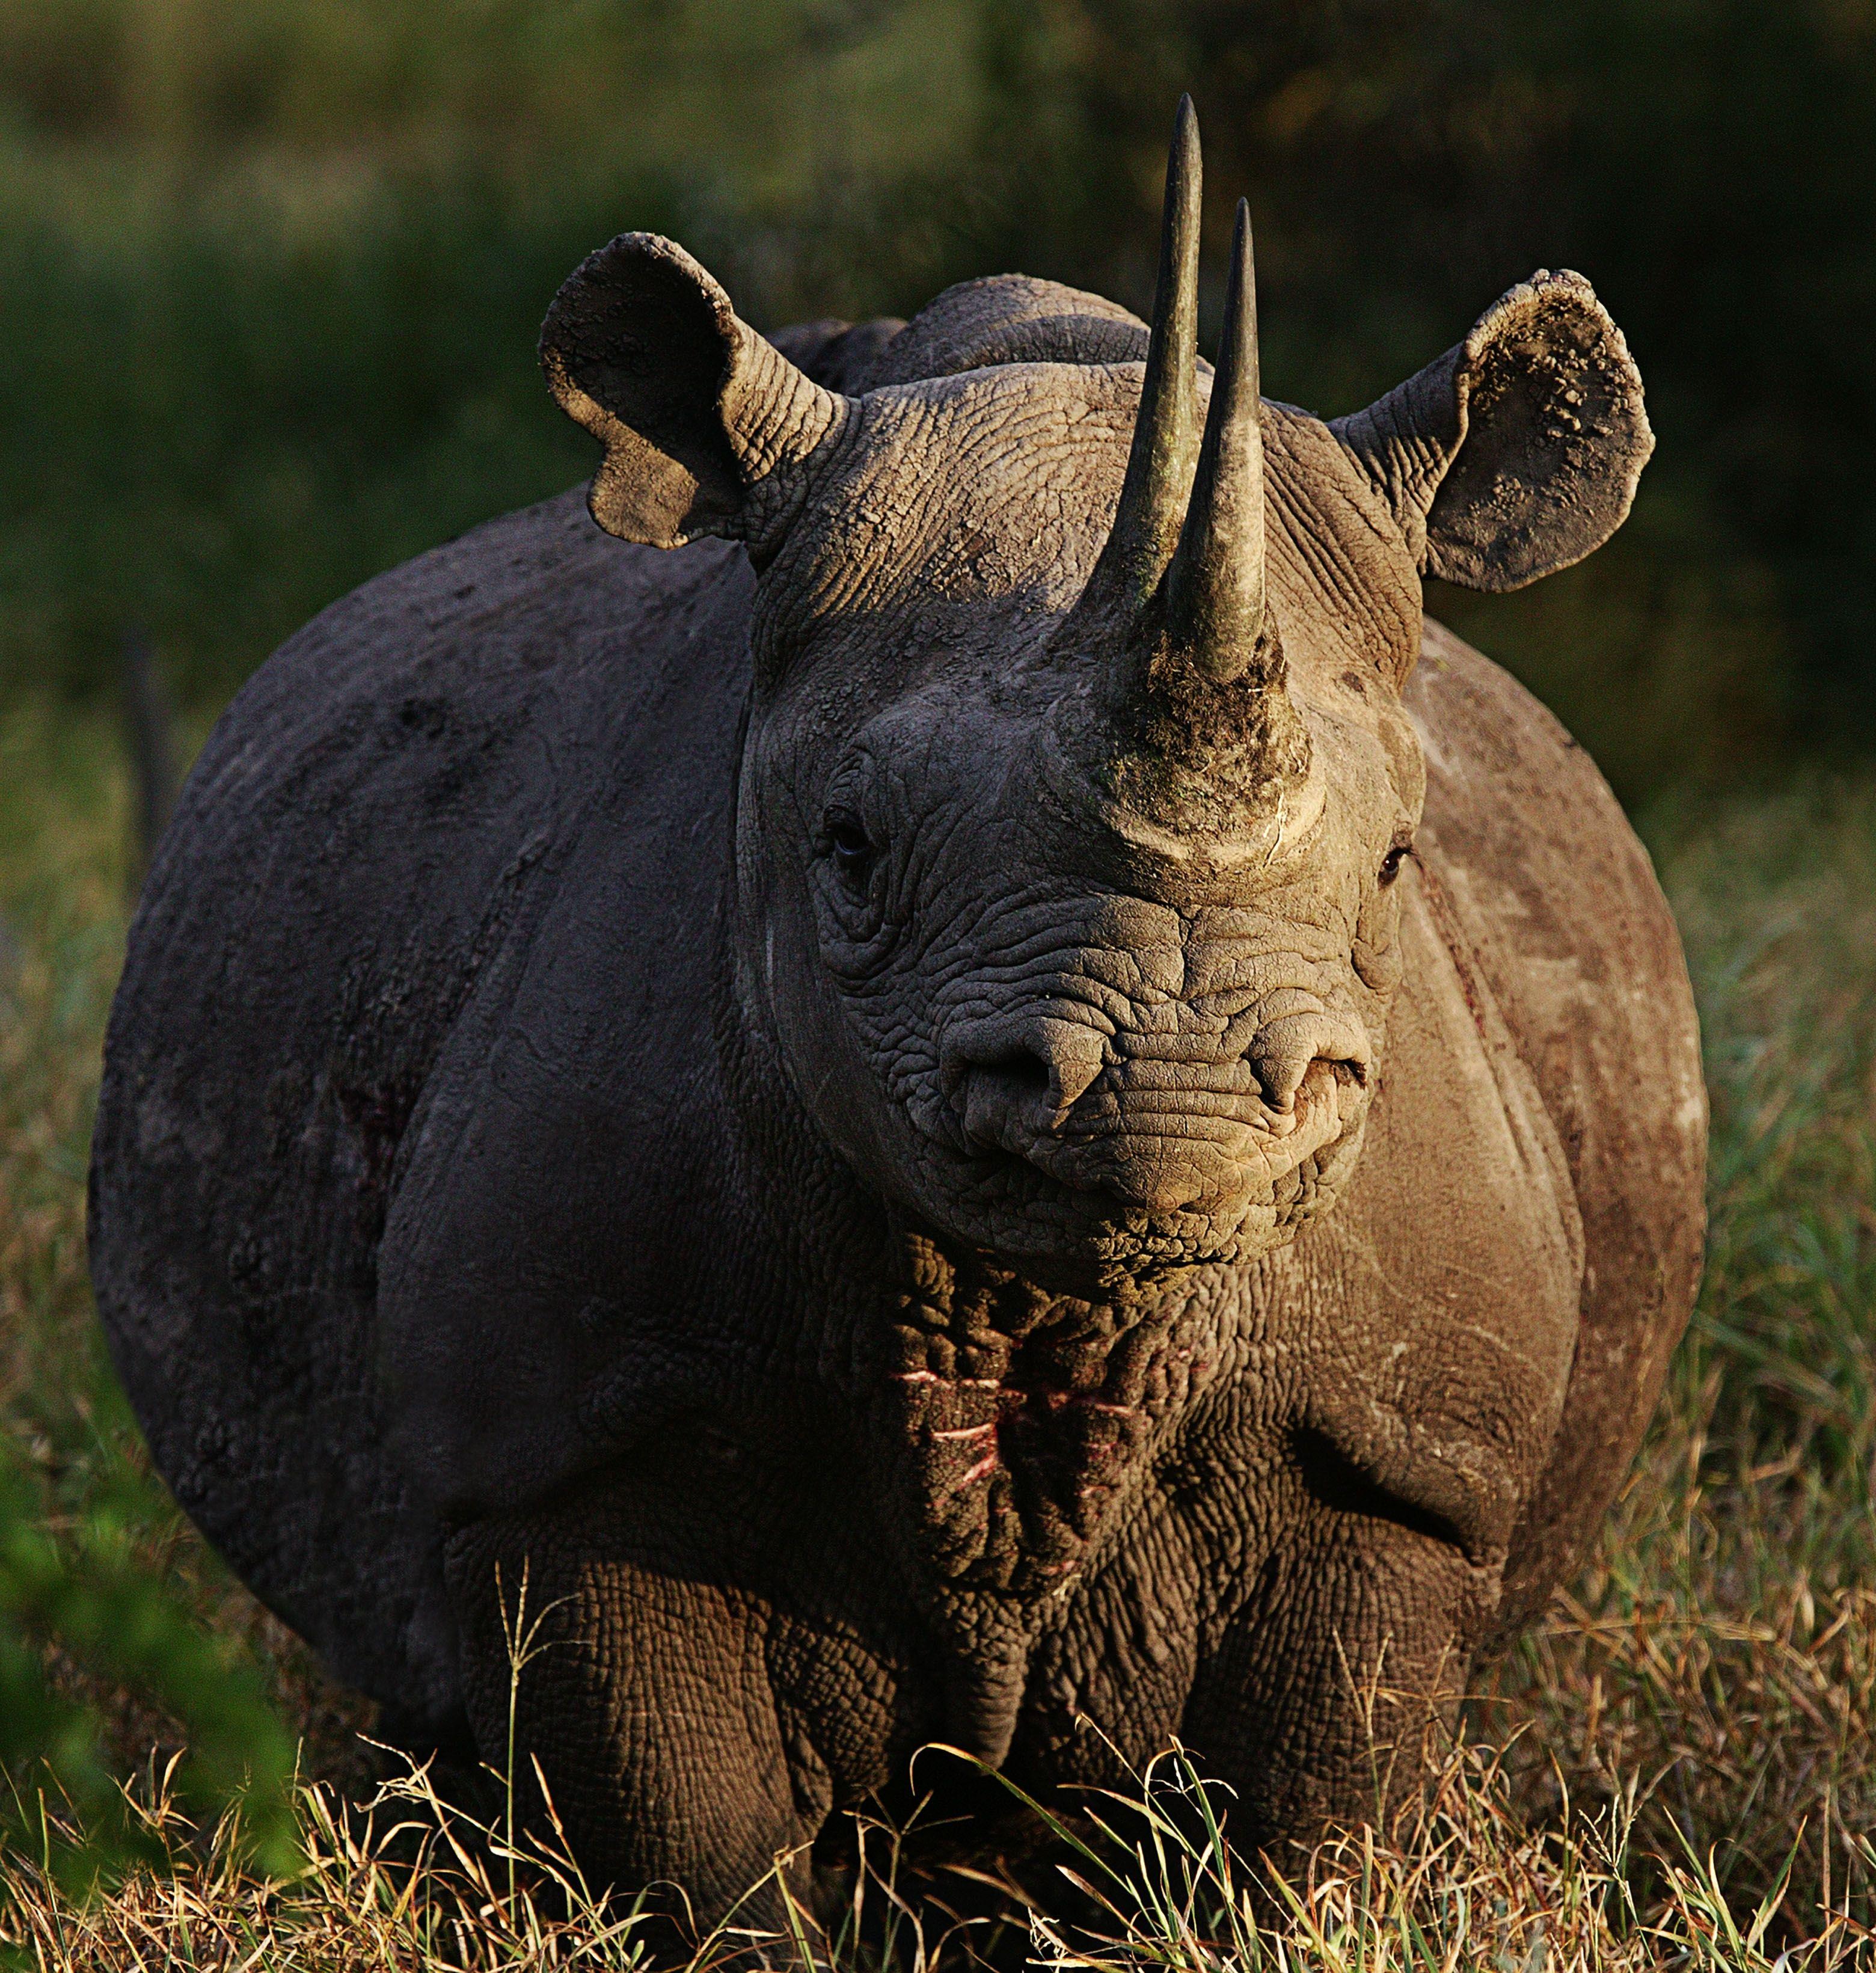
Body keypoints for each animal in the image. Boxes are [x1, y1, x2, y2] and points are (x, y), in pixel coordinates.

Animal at [90, 101, 1705, 1912]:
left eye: (1399, 867)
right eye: (847, 849)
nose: (1172, 1106)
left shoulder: (1407, 1458)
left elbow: (1308, 1819)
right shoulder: (569, 1446)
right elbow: (695, 1847)